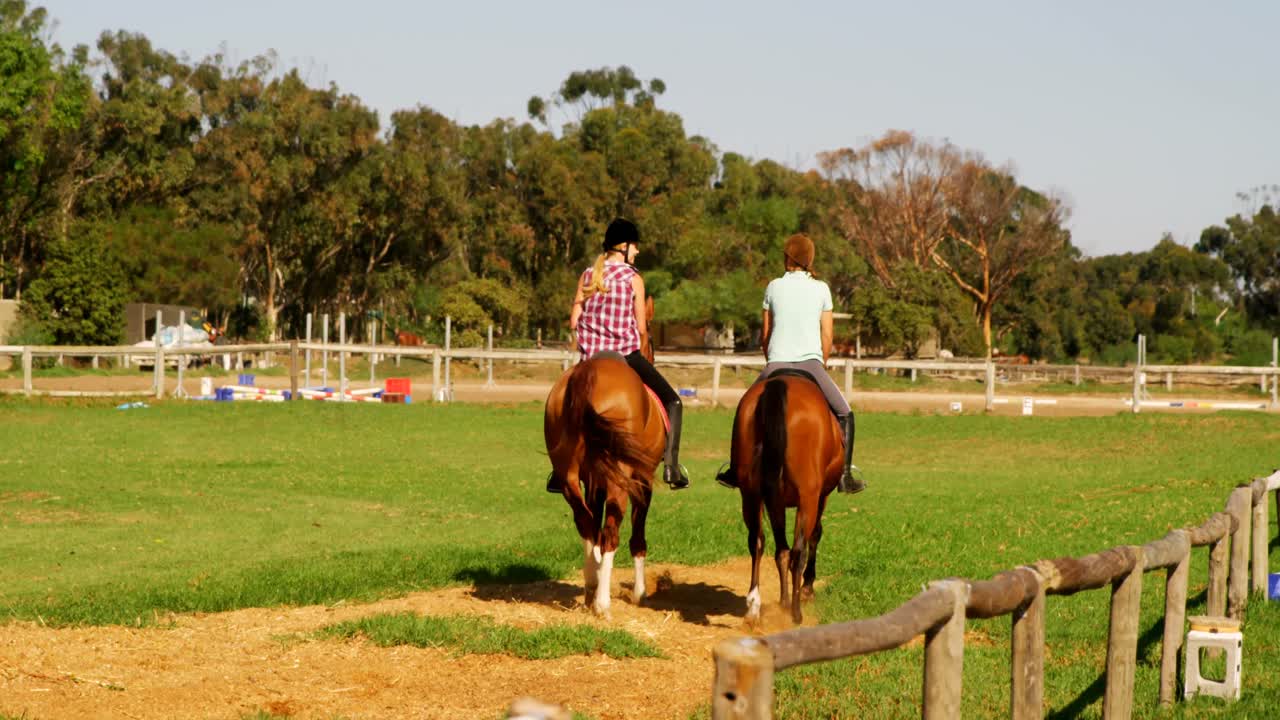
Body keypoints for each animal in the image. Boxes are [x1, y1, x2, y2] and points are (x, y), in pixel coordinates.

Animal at [542, 299, 666, 616]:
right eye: (652, 341)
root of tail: (589, 373)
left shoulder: (592, 479)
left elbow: (593, 522)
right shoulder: (642, 480)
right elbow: (637, 536)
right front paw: (639, 592)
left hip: (570, 475)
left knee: (586, 523)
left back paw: (591, 586)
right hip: (619, 478)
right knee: (610, 532)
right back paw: (602, 603)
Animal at [722, 371, 844, 625]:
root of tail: (781, 383)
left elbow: (779, 549)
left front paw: (783, 600)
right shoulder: (820, 496)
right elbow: (815, 536)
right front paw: (807, 588)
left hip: (751, 495)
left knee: (760, 542)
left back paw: (756, 606)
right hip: (808, 497)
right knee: (798, 550)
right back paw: (796, 612)